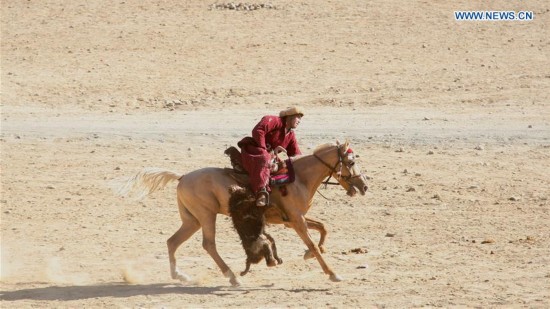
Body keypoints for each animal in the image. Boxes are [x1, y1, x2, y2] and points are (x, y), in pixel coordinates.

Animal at [118, 140, 374, 284]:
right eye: (351, 162)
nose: (364, 187)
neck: (298, 178)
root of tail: (182, 177)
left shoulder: (292, 220)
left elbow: (323, 227)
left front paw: (310, 254)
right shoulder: (296, 220)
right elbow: (312, 242)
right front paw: (332, 273)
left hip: (191, 220)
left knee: (172, 241)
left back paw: (180, 276)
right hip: (206, 216)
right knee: (208, 245)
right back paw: (231, 277)